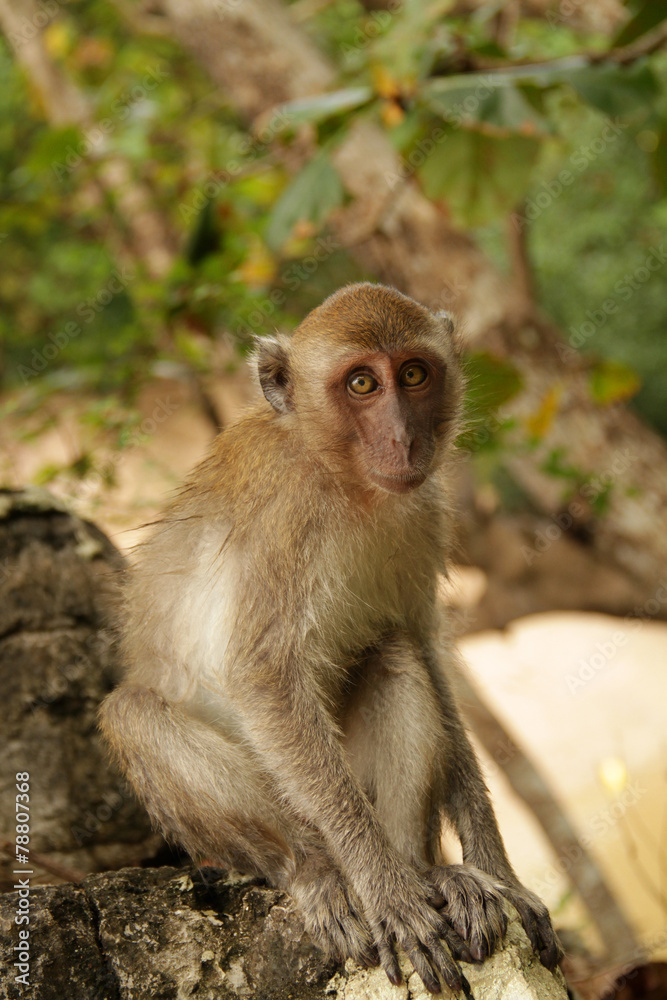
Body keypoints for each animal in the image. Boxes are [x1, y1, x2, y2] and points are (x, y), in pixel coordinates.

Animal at [100, 282, 564, 992]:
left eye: (414, 374)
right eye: (362, 383)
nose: (403, 438)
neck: (343, 478)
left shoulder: (425, 511)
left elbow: (425, 650)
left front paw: (500, 875)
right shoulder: (286, 515)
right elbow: (264, 677)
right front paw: (388, 894)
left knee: (395, 653)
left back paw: (426, 870)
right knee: (133, 714)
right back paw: (320, 872)